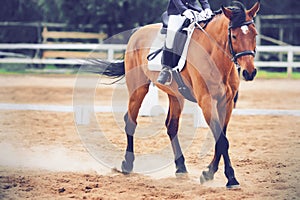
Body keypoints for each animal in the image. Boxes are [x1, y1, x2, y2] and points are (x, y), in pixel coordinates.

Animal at [94, 1, 260, 188]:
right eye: (234, 36)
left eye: (254, 34)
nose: (249, 72)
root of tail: (137, 32)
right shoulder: (206, 101)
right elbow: (222, 140)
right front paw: (230, 177)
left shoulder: (227, 103)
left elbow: (221, 138)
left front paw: (209, 173)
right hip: (138, 88)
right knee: (131, 121)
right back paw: (127, 165)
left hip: (175, 96)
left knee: (171, 126)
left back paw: (181, 167)